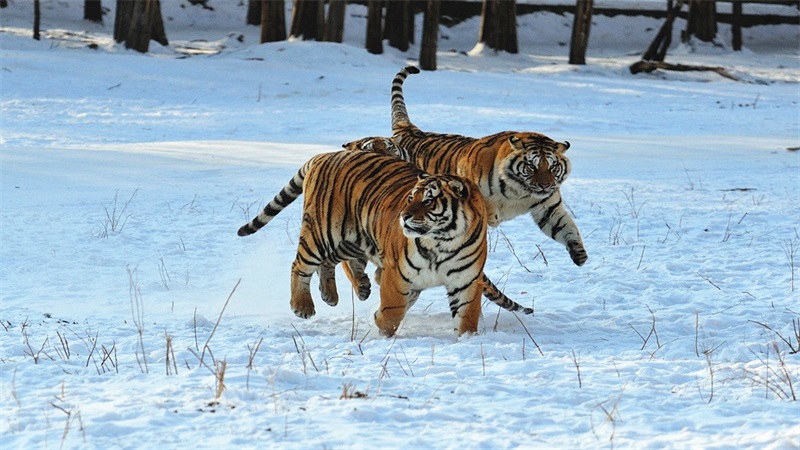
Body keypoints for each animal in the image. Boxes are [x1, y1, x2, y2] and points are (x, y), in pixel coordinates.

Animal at [237, 150, 496, 337]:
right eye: (411, 197)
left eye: (429, 201)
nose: (404, 216)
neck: (443, 241)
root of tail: (324, 155)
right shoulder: (398, 273)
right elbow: (393, 310)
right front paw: (380, 324)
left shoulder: (466, 281)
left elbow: (467, 315)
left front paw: (466, 339)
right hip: (321, 233)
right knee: (300, 265)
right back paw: (302, 306)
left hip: (353, 239)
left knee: (330, 262)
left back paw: (333, 294)